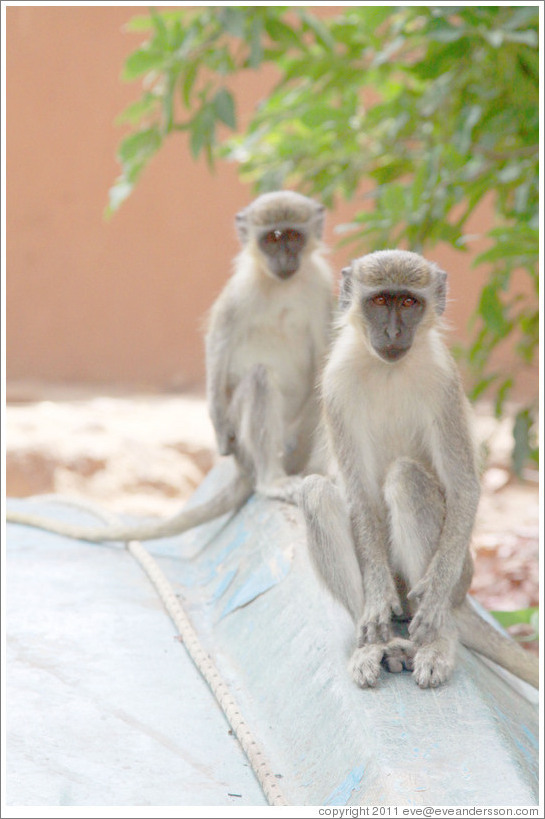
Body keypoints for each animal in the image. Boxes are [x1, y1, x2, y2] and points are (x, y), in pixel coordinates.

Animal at [6, 189, 334, 540]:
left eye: (293, 237)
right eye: (271, 239)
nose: (284, 259)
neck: (284, 284)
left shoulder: (320, 285)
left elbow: (326, 357)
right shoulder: (241, 291)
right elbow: (218, 343)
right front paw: (217, 422)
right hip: (249, 442)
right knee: (259, 379)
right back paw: (272, 480)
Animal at [300, 251, 536, 692]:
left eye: (409, 303)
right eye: (379, 301)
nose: (393, 331)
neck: (388, 368)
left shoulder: (443, 381)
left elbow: (463, 487)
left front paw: (436, 602)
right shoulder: (335, 383)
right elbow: (359, 497)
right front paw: (375, 601)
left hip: (461, 575)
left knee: (406, 478)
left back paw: (438, 640)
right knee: (316, 493)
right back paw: (376, 644)